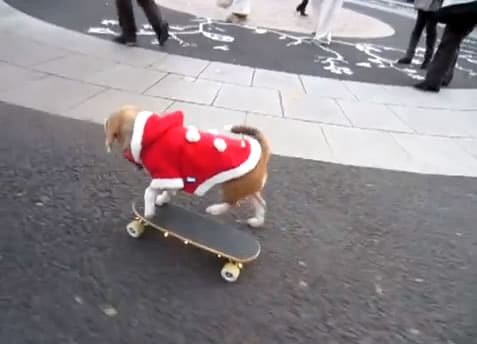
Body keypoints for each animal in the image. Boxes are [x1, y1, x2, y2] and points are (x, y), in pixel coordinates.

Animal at [102, 105, 270, 228]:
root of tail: (262, 151)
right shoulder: (173, 179)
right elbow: (168, 191)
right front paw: (162, 199)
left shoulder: (165, 173)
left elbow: (149, 192)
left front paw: (149, 212)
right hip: (247, 187)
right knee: (260, 203)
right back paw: (257, 221)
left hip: (232, 186)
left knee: (232, 203)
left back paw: (215, 209)